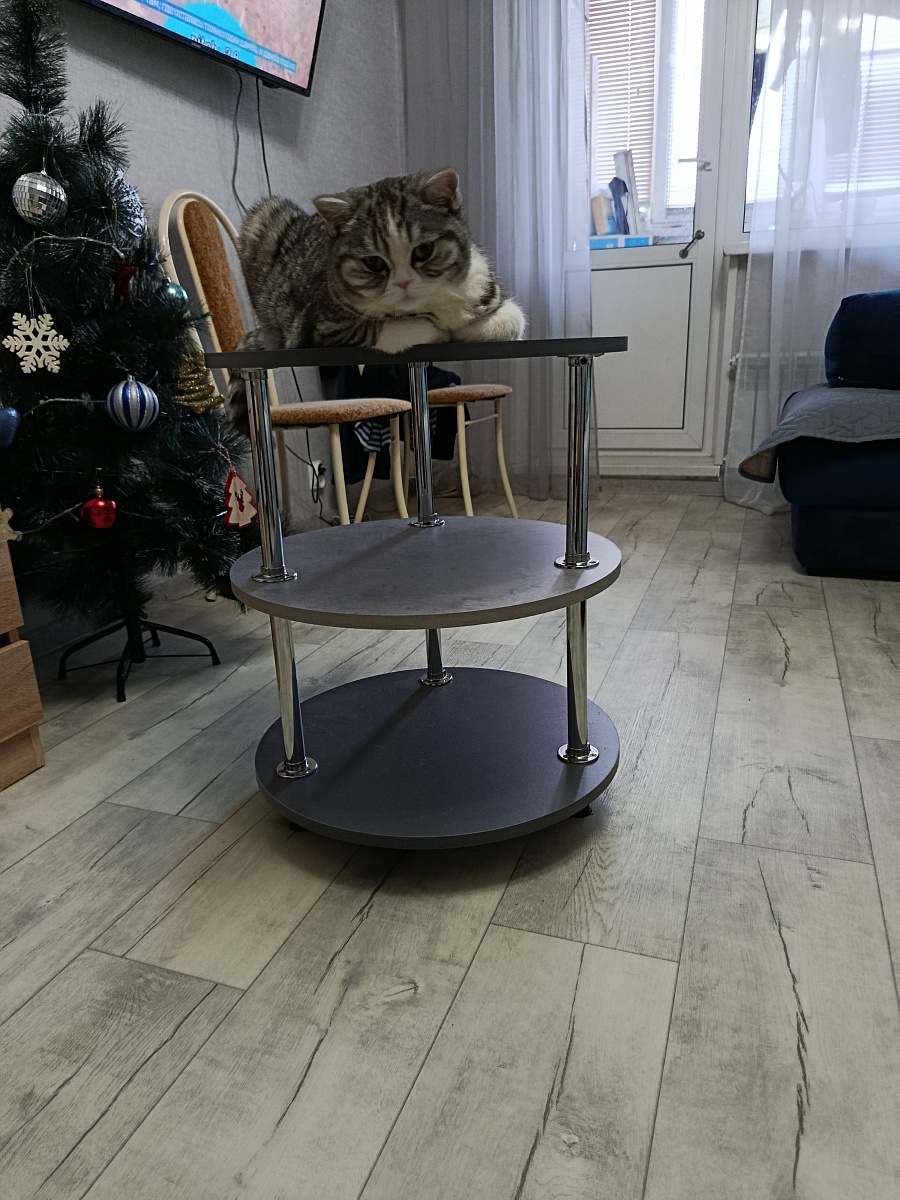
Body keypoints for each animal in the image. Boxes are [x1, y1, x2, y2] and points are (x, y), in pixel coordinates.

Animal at [229, 168, 524, 430]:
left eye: (424, 251)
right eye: (373, 263)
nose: (403, 282)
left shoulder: (486, 288)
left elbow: (511, 318)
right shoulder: (319, 327)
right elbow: (388, 329)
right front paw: (435, 330)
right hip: (265, 216)